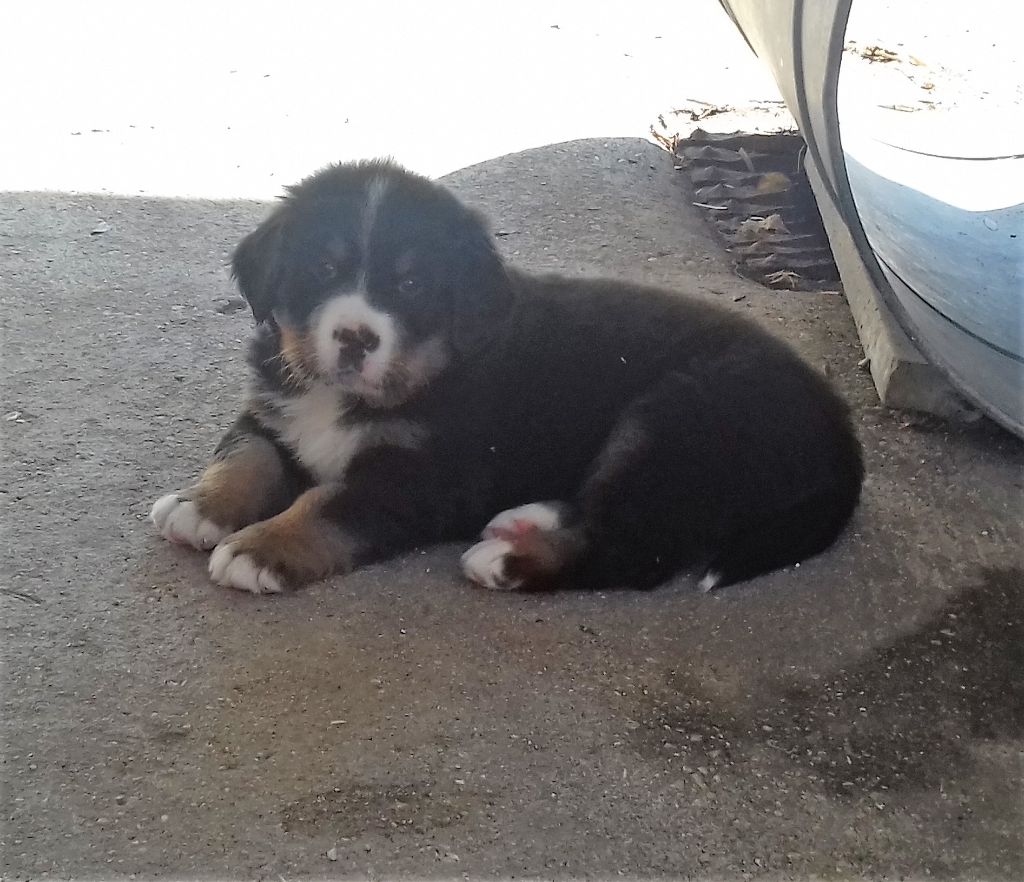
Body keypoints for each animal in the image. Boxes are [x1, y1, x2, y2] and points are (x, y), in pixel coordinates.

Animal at [150, 159, 863, 595]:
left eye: (411, 285)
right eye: (323, 269)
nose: (355, 337)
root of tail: (841, 435)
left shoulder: (420, 474)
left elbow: (328, 502)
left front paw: (261, 547)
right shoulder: (271, 408)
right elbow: (246, 457)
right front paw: (200, 506)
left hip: (674, 419)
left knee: (637, 549)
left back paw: (507, 560)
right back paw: (524, 521)